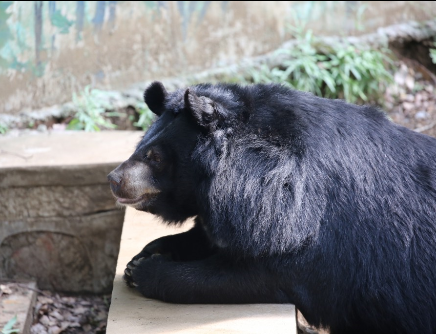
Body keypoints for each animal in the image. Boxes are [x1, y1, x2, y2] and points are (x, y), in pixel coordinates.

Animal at [107, 81, 436, 334]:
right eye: (140, 146)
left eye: (155, 157)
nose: (114, 179)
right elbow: (209, 238)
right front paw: (142, 256)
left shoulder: (305, 229)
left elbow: (250, 275)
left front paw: (146, 271)